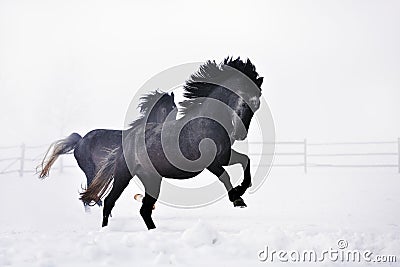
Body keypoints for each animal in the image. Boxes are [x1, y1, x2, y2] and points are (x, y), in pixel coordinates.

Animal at [79, 57, 264, 230]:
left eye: (256, 104)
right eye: (240, 97)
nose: (239, 134)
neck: (207, 123)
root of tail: (127, 139)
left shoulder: (224, 155)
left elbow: (245, 160)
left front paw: (241, 189)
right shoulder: (210, 162)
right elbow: (225, 175)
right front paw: (237, 198)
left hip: (151, 179)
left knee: (144, 209)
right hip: (124, 174)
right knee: (110, 202)